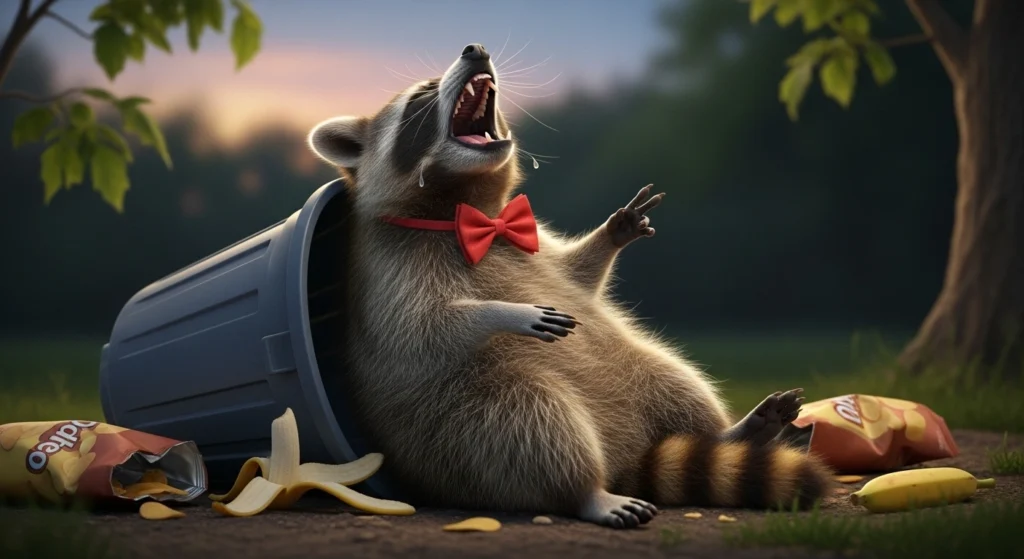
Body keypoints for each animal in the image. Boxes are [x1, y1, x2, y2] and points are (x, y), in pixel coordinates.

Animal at [307, 43, 832, 528]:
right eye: (421, 95)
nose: (475, 49)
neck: (472, 212)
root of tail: (626, 458)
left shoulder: (532, 240)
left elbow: (577, 273)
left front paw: (612, 233)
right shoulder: (388, 274)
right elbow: (421, 329)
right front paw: (504, 311)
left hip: (636, 371)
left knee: (676, 379)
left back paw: (729, 434)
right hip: (466, 420)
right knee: (535, 423)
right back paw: (587, 492)